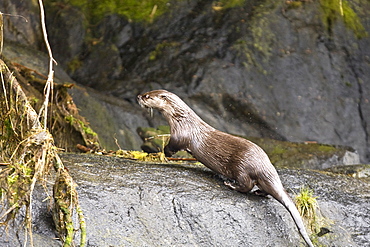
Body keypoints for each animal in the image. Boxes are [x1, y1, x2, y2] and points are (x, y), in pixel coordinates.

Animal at [137, 89, 314, 246]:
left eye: (147, 96)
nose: (138, 96)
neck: (181, 119)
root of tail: (263, 165)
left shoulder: (180, 135)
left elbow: (173, 146)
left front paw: (164, 153)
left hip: (241, 166)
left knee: (246, 184)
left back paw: (231, 185)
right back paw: (259, 192)